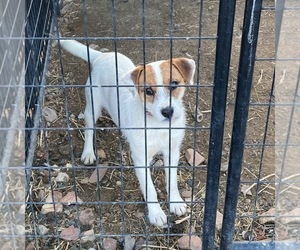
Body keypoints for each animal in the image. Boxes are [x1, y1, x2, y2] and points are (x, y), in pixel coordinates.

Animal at [59, 40, 196, 228]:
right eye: (148, 91)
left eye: (174, 84)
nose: (168, 111)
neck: (157, 125)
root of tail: (102, 56)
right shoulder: (140, 158)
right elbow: (150, 189)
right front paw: (156, 213)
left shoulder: (172, 152)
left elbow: (172, 181)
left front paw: (175, 202)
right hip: (93, 107)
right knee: (89, 128)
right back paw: (88, 153)